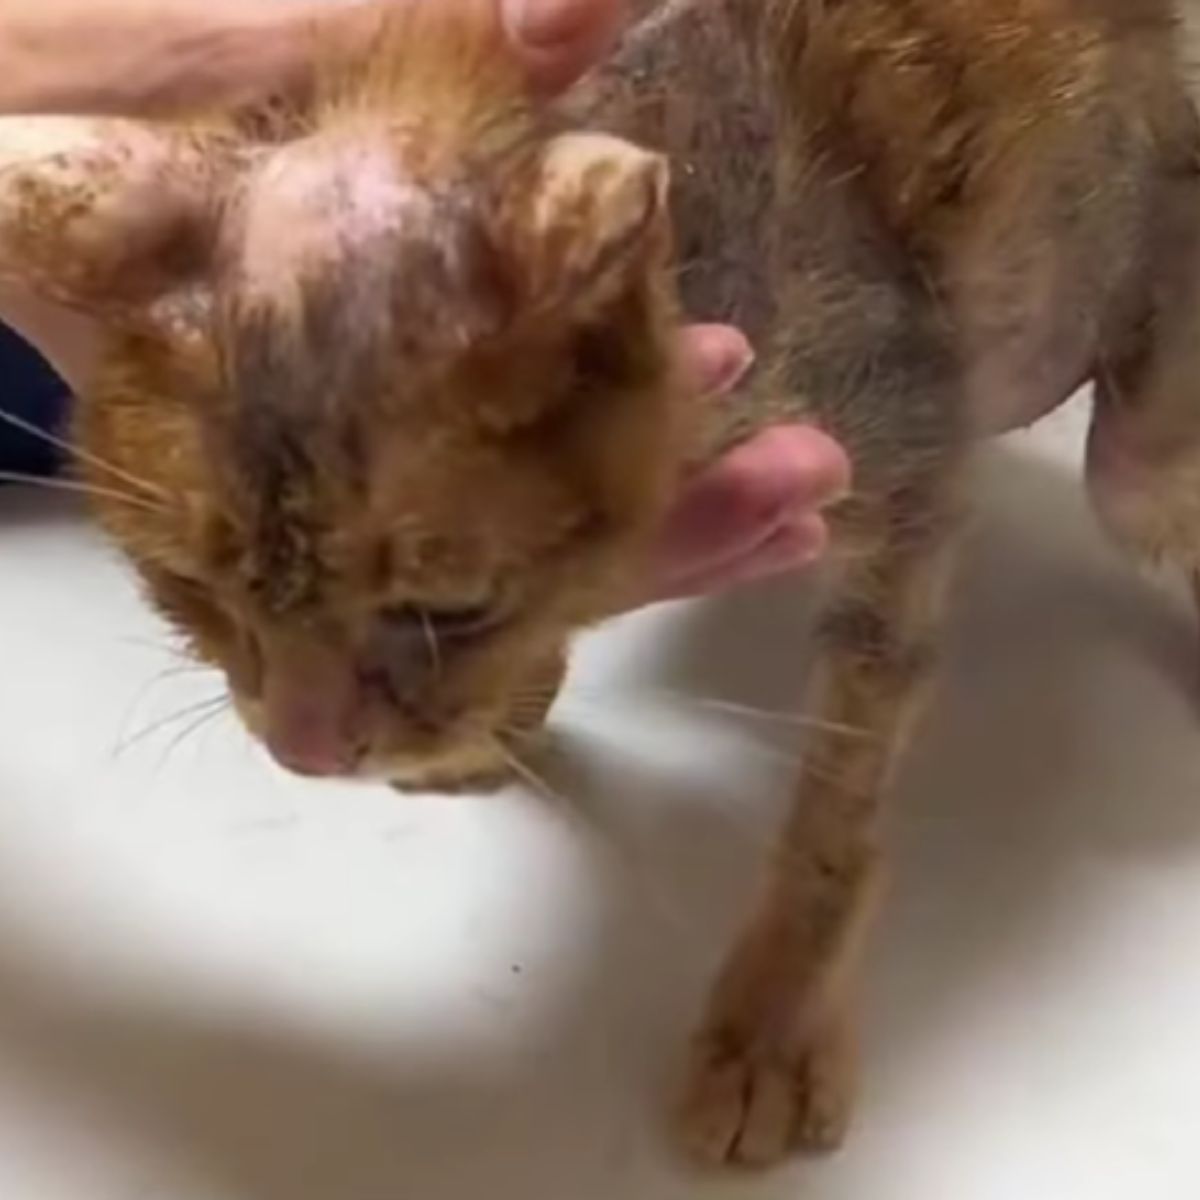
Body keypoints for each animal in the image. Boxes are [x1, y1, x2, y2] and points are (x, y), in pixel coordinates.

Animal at [2, 0, 1200, 1171]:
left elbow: (837, 802)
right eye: (186, 587)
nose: (307, 749)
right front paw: (504, 715)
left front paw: (771, 1027)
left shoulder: (910, 461)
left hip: (1133, 431)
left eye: (448, 611)